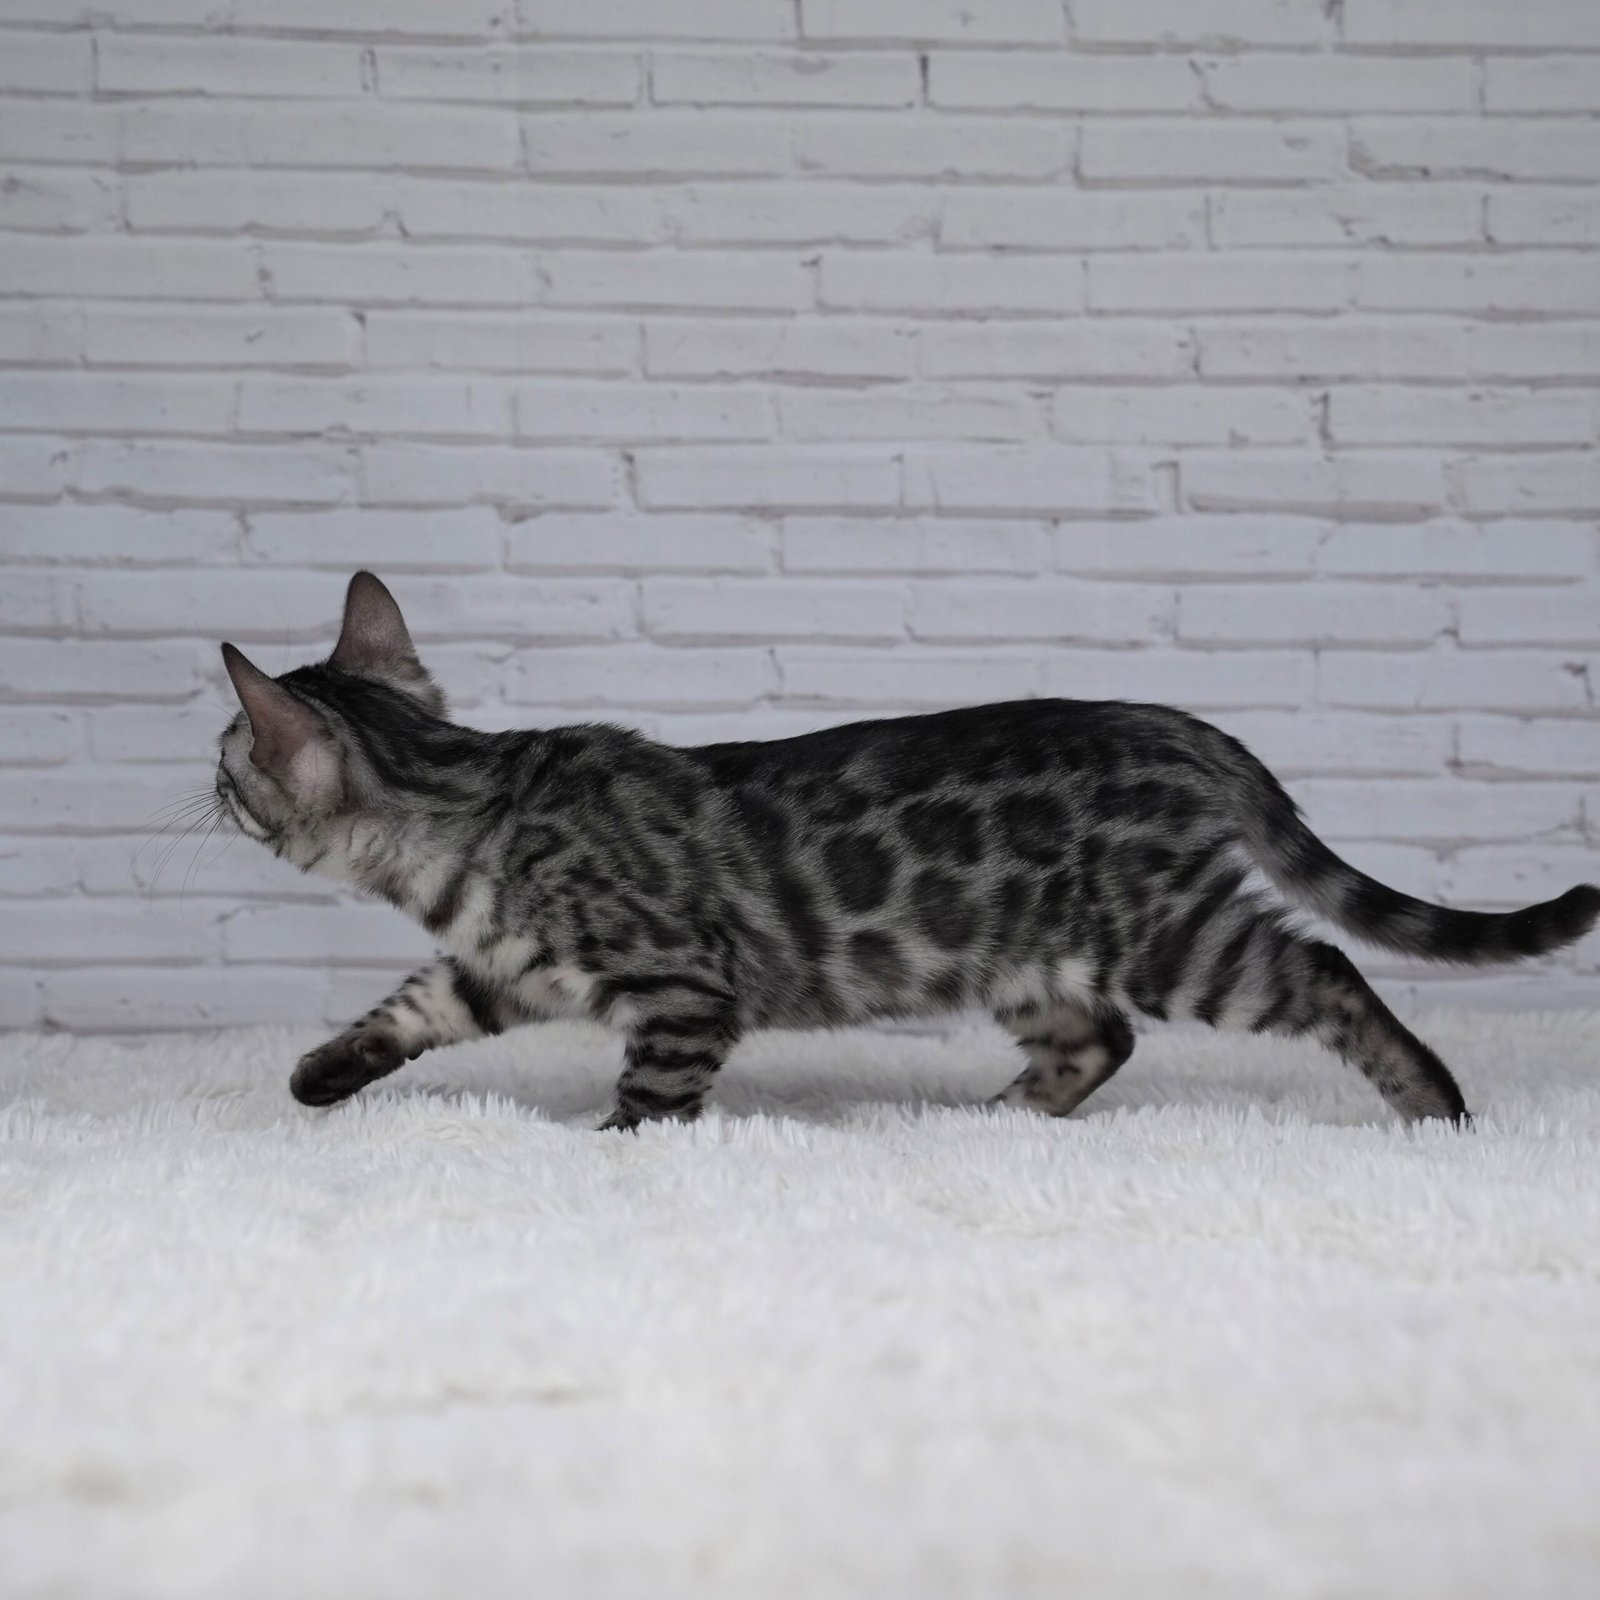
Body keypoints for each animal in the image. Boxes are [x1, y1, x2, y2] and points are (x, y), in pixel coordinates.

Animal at [213, 571, 1599, 1130]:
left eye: (227, 755)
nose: (206, 789)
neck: (475, 804)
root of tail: (1178, 723)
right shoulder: (496, 968)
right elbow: (408, 1007)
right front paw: (321, 1075)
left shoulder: (680, 985)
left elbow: (651, 1096)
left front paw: (608, 1150)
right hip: (1028, 956)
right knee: (1099, 1038)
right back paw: (987, 1121)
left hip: (1170, 933)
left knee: (1321, 969)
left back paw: (1430, 1103)